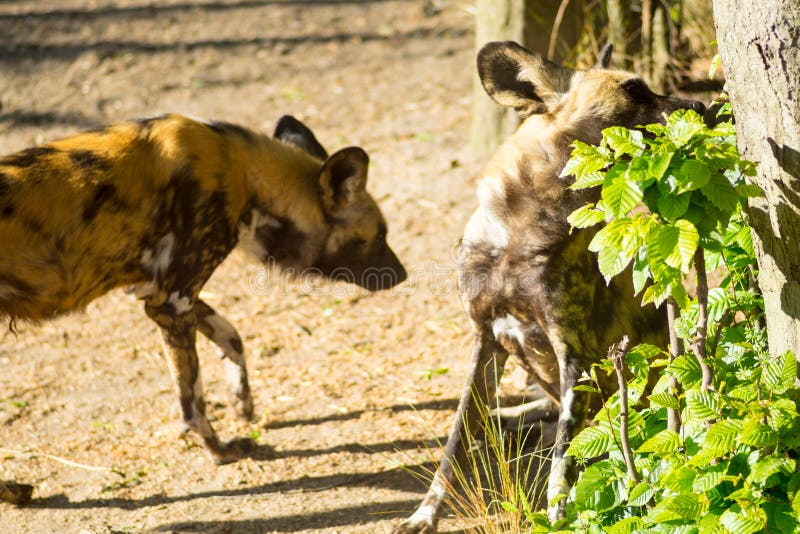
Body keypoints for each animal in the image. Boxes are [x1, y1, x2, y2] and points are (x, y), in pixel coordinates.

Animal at [0, 114, 406, 478]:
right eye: (379, 235)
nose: (402, 274)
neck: (246, 174)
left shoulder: (165, 294)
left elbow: (232, 338)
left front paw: (242, 403)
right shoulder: (172, 302)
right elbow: (192, 400)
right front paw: (219, 451)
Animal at [396, 42, 704, 532]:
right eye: (634, 89)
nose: (703, 107)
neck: (521, 232)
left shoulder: (574, 356)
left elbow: (563, 461)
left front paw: (557, 517)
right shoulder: (486, 340)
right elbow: (454, 443)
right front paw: (424, 513)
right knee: (525, 414)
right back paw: (507, 420)